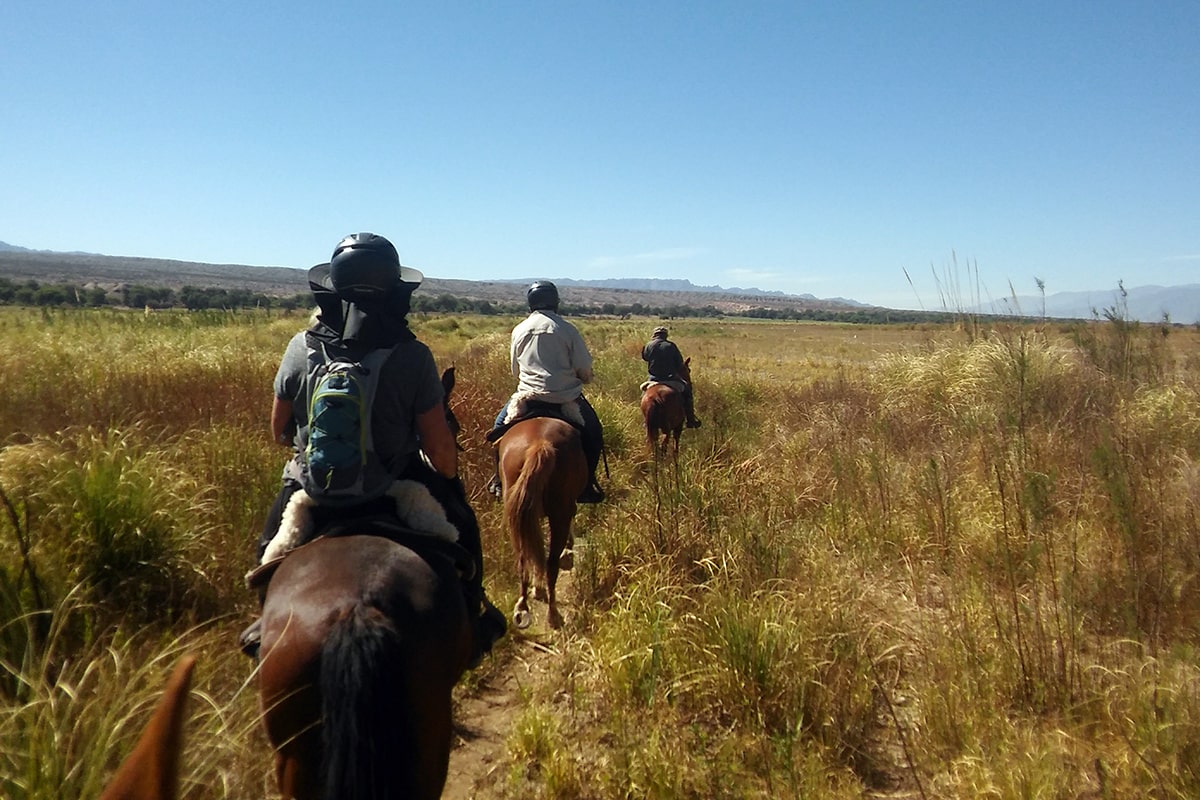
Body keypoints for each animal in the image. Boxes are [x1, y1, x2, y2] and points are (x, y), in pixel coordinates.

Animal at [494, 417, 588, 628]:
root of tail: (540, 443)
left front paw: (537, 588)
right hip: (559, 513)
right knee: (551, 563)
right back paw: (553, 615)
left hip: (515, 514)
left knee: (523, 559)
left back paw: (522, 607)